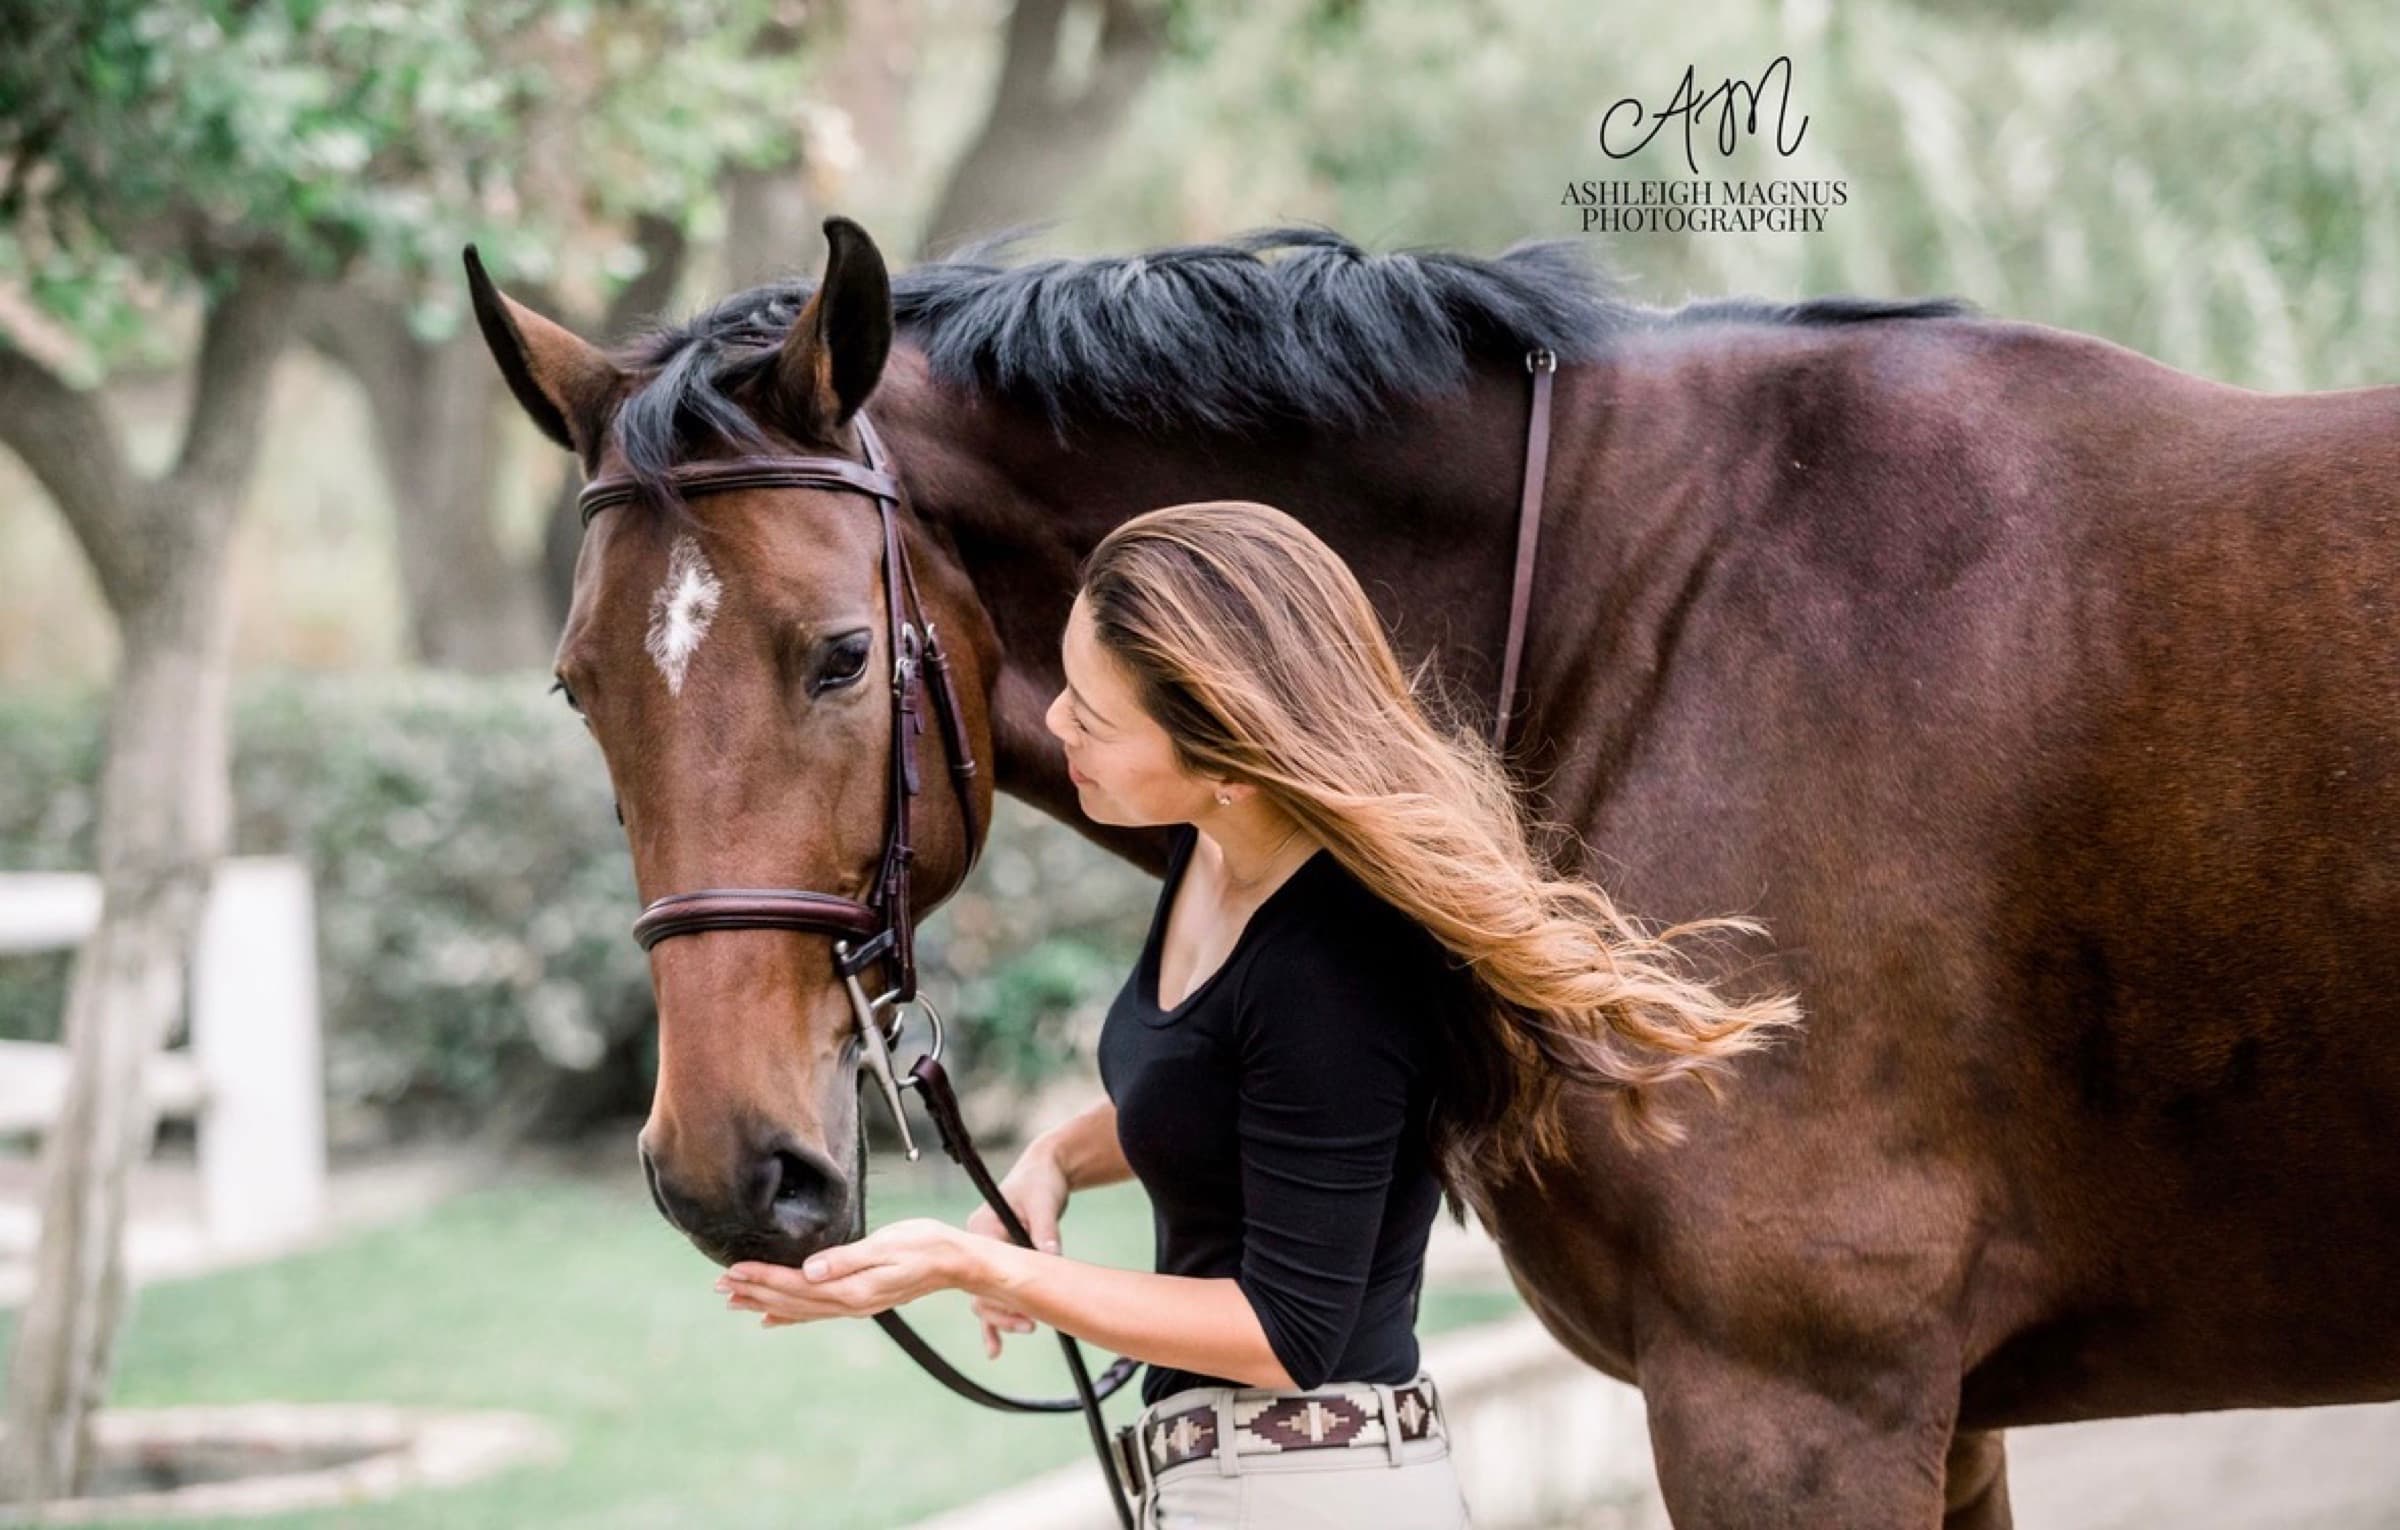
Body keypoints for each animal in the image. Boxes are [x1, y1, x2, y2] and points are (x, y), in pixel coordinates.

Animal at [463, 216, 2400, 1527]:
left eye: (842, 656)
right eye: (575, 688)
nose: (727, 1171)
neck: (1649, 616)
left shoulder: (1800, 1401)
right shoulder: (1943, 1409)